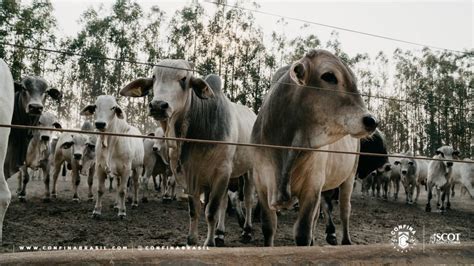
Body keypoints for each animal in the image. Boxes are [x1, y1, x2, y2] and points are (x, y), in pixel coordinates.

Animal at [120, 65, 258, 246]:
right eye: (154, 77)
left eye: (184, 78)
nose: (158, 105)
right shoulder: (191, 174)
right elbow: (195, 210)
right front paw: (193, 239)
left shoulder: (221, 173)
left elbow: (211, 211)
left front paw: (209, 243)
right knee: (225, 202)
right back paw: (220, 233)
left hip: (249, 171)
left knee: (248, 199)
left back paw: (247, 231)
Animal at [250, 49, 376, 245]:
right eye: (329, 76)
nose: (371, 120)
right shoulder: (261, 184)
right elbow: (269, 227)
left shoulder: (312, 187)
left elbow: (302, 233)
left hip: (349, 176)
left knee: (345, 210)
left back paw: (345, 240)